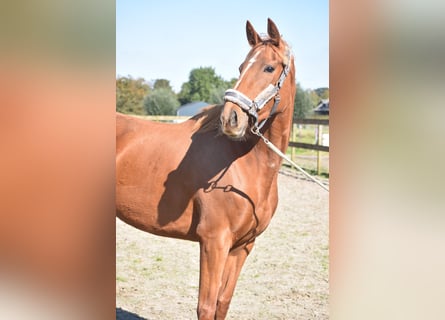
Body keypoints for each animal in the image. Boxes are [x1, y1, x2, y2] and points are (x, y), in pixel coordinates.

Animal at [116, 18, 294, 318]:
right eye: (241, 67)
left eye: (269, 67)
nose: (231, 119)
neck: (243, 164)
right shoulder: (214, 242)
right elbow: (206, 306)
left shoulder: (242, 247)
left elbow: (222, 302)